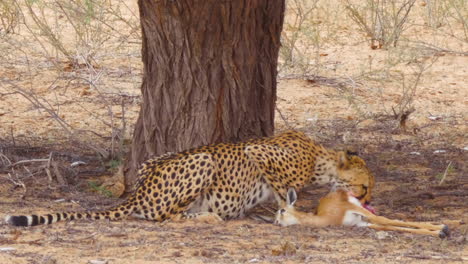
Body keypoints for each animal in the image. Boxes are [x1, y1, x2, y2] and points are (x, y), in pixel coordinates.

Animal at [5, 130, 374, 227]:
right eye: (365, 186)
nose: (368, 201)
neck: (321, 158)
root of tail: (138, 191)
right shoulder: (258, 150)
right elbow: (285, 192)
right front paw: (292, 212)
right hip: (203, 157)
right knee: (165, 218)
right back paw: (208, 216)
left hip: (157, 158)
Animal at [274, 189, 450, 238]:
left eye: (282, 210)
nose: (276, 223)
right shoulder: (360, 223)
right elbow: (387, 226)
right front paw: (440, 231)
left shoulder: (352, 209)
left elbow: (384, 220)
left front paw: (441, 231)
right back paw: (441, 228)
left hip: (360, 208)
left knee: (384, 218)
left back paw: (443, 227)